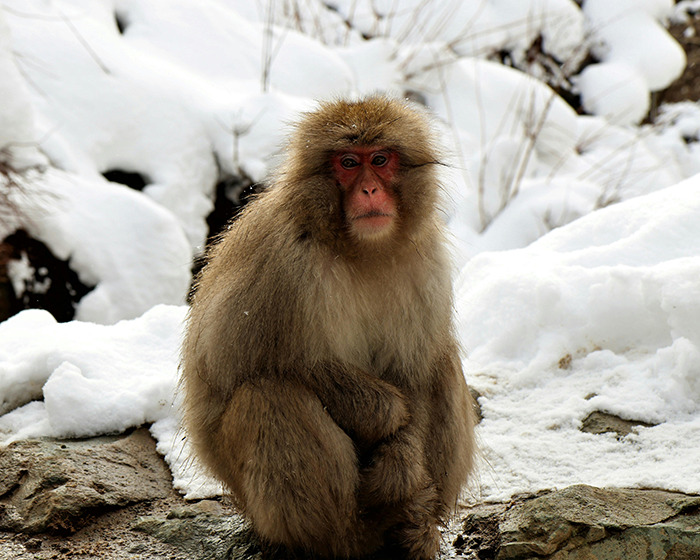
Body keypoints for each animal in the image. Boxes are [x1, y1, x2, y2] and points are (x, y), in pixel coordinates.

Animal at [181, 96, 475, 559]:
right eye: (348, 163)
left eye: (380, 160)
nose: (369, 190)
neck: (360, 249)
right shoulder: (283, 261)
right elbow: (236, 363)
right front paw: (385, 412)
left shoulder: (425, 262)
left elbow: (414, 372)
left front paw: (402, 464)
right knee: (267, 394)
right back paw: (345, 535)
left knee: (442, 363)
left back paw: (415, 525)